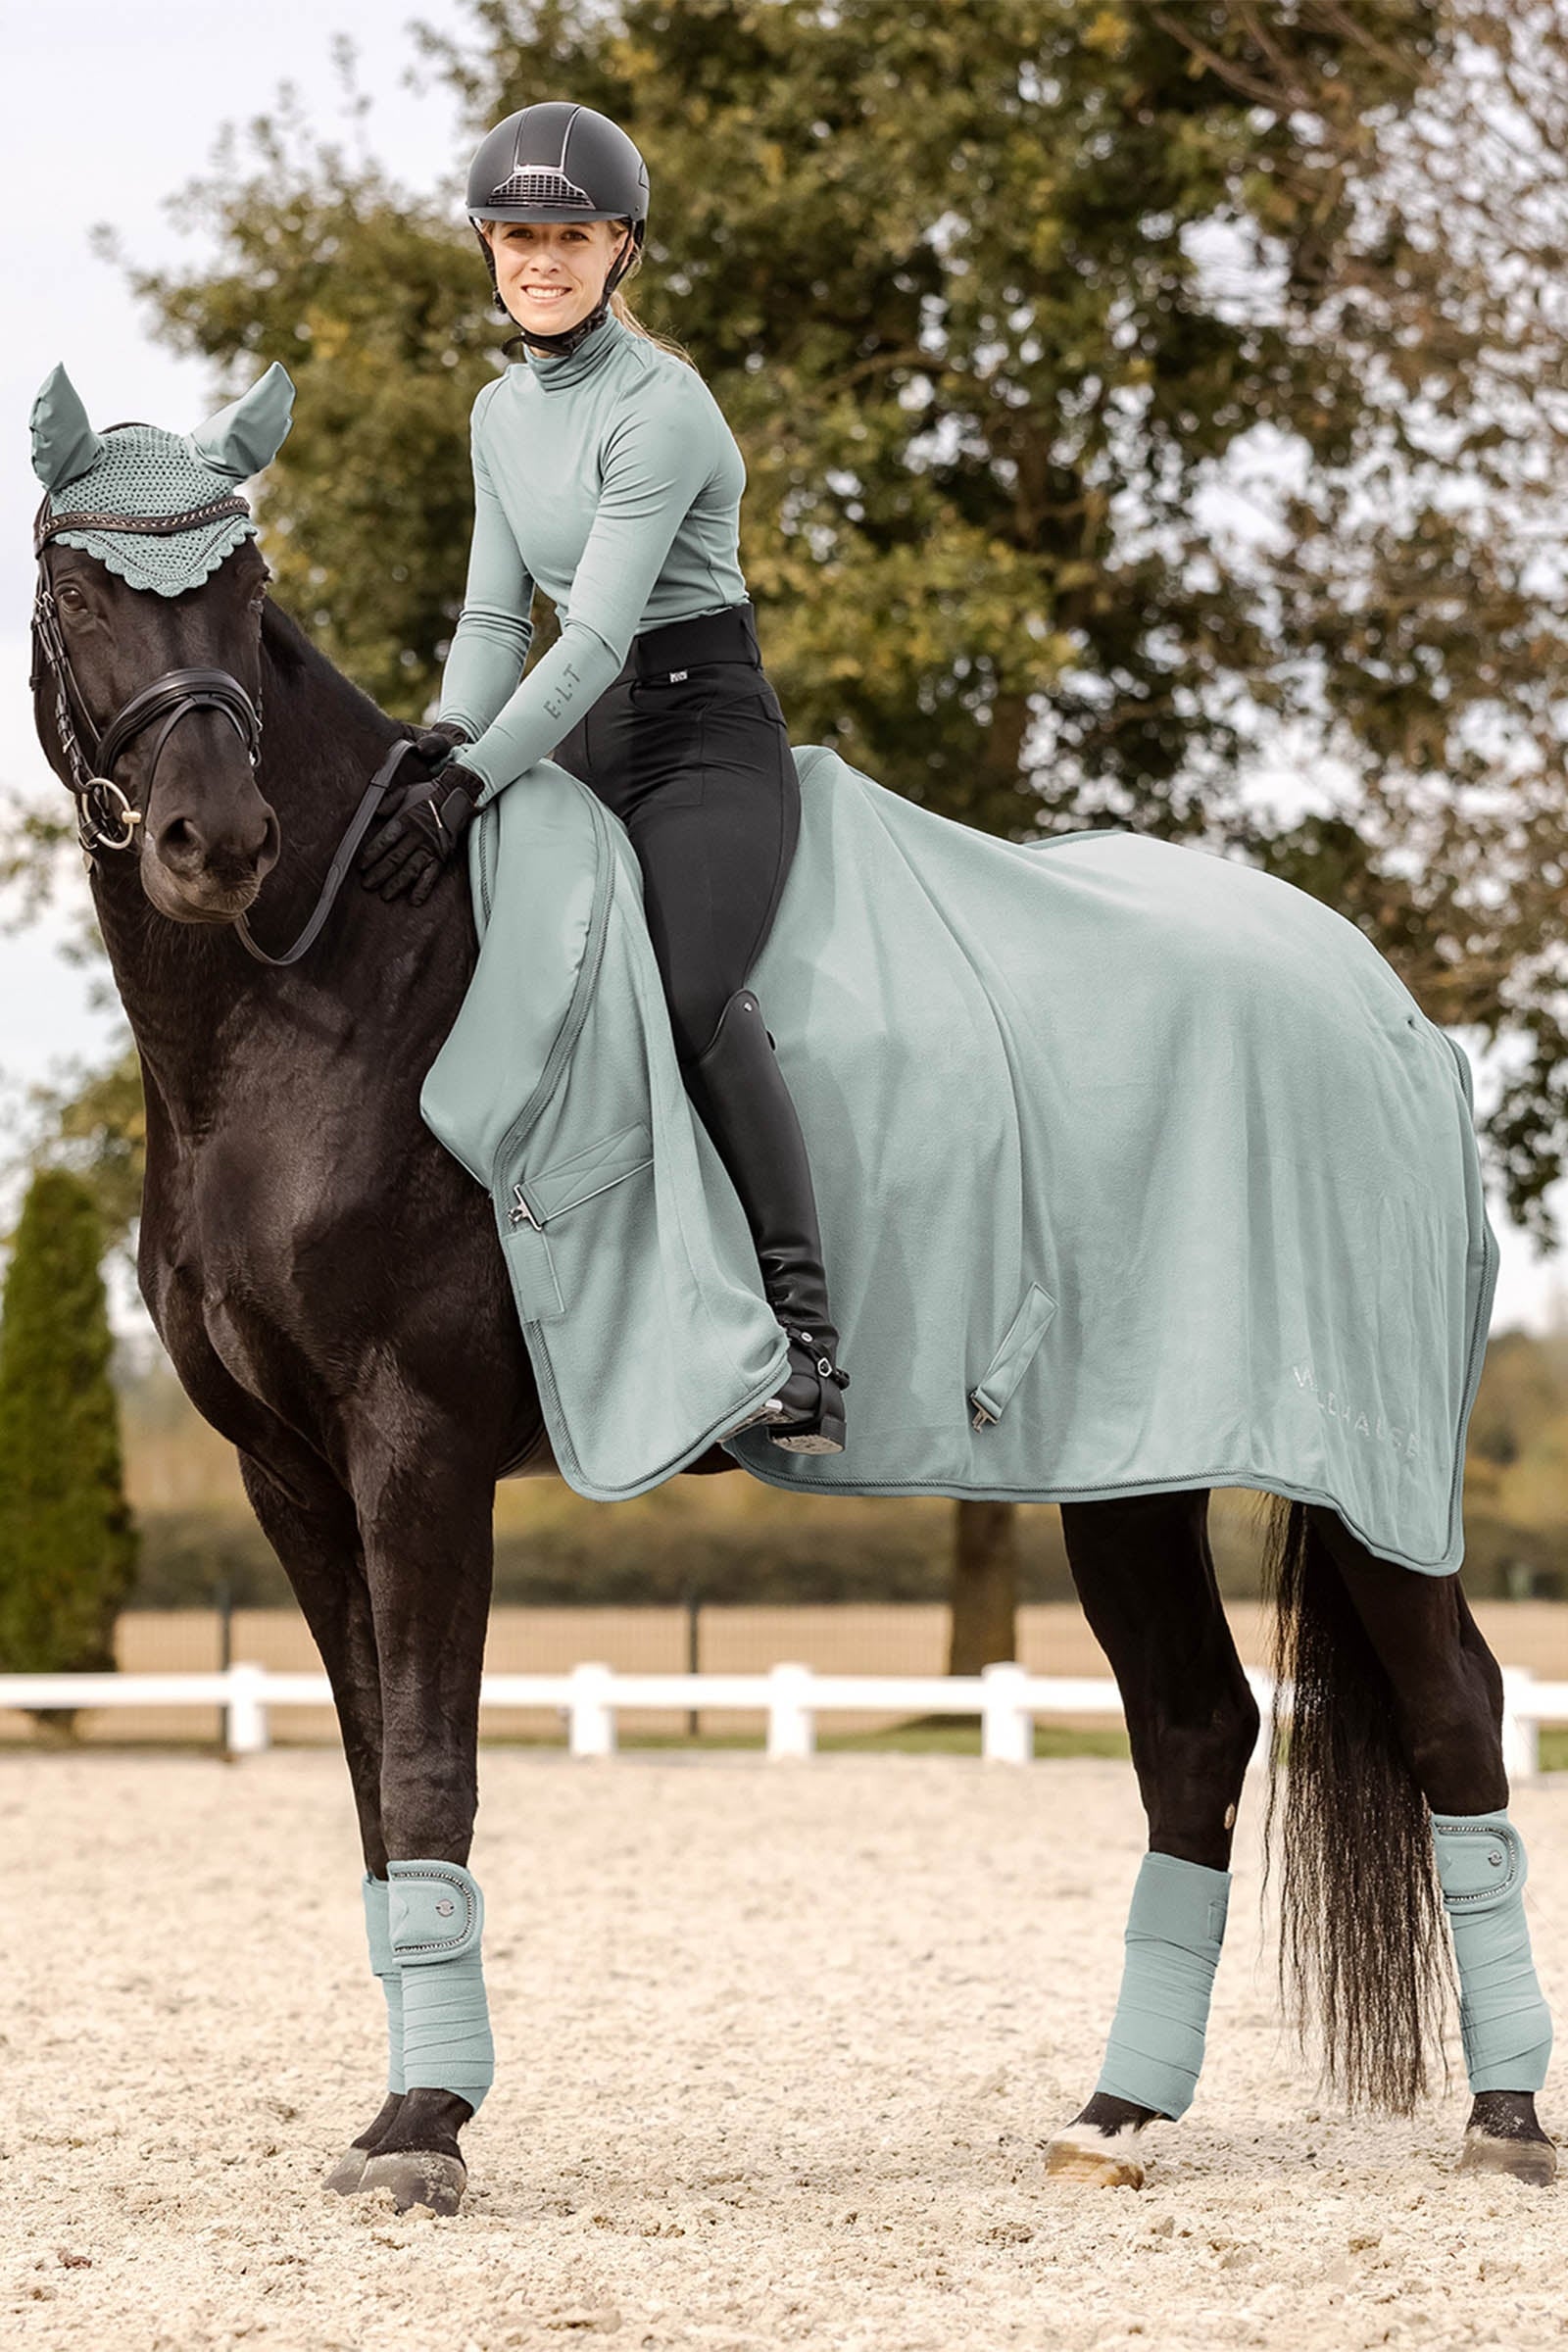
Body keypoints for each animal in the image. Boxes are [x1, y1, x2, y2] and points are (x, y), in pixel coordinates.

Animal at [27, 369, 1555, 2212]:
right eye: (80, 592)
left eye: (248, 603)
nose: (217, 844)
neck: (333, 996)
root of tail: (1385, 1005)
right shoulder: (291, 1478)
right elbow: (373, 1783)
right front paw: (405, 2107)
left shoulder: (416, 1452)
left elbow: (431, 1767)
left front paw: (423, 2131)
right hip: (1128, 1462)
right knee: (1196, 1728)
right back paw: (1114, 2118)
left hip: (1367, 1471)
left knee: (1456, 1706)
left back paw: (1505, 2121)